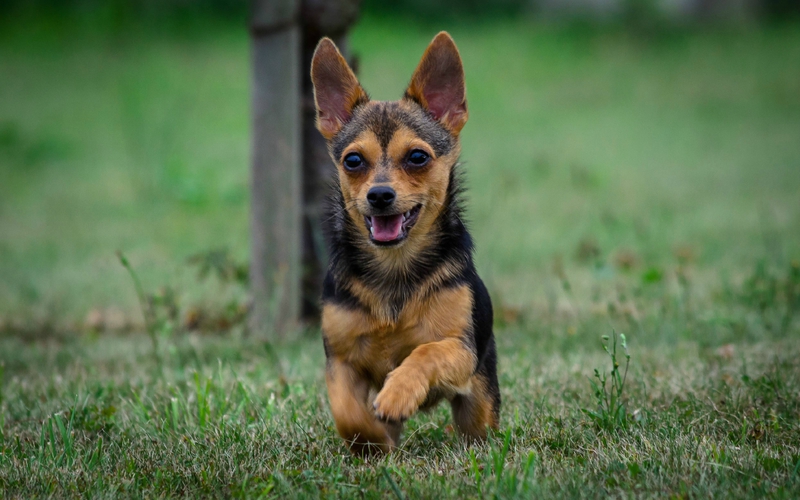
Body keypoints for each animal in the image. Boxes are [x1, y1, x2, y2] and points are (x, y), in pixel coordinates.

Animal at [310, 30, 496, 454]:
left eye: (416, 157)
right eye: (353, 161)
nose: (379, 194)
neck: (394, 265)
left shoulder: (460, 348)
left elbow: (426, 351)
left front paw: (398, 394)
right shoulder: (339, 360)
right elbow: (347, 413)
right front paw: (373, 438)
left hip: (480, 400)